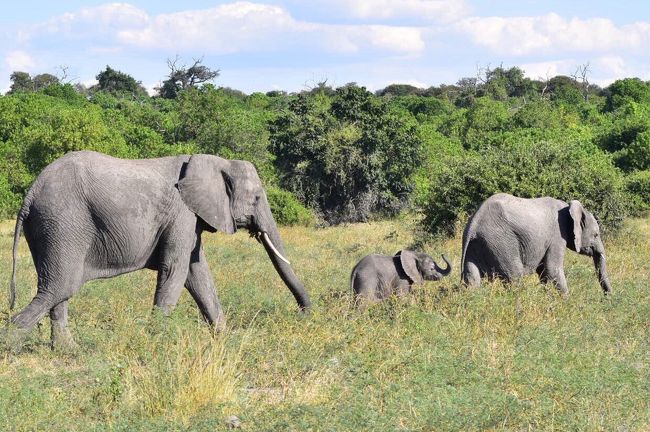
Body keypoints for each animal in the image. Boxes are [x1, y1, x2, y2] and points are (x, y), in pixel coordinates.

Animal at [458, 194, 612, 296]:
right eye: (596, 235)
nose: (606, 298)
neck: (569, 208)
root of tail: (474, 223)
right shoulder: (557, 234)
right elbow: (552, 268)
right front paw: (566, 304)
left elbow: (543, 271)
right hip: (500, 242)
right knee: (515, 277)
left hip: (477, 244)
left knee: (472, 280)